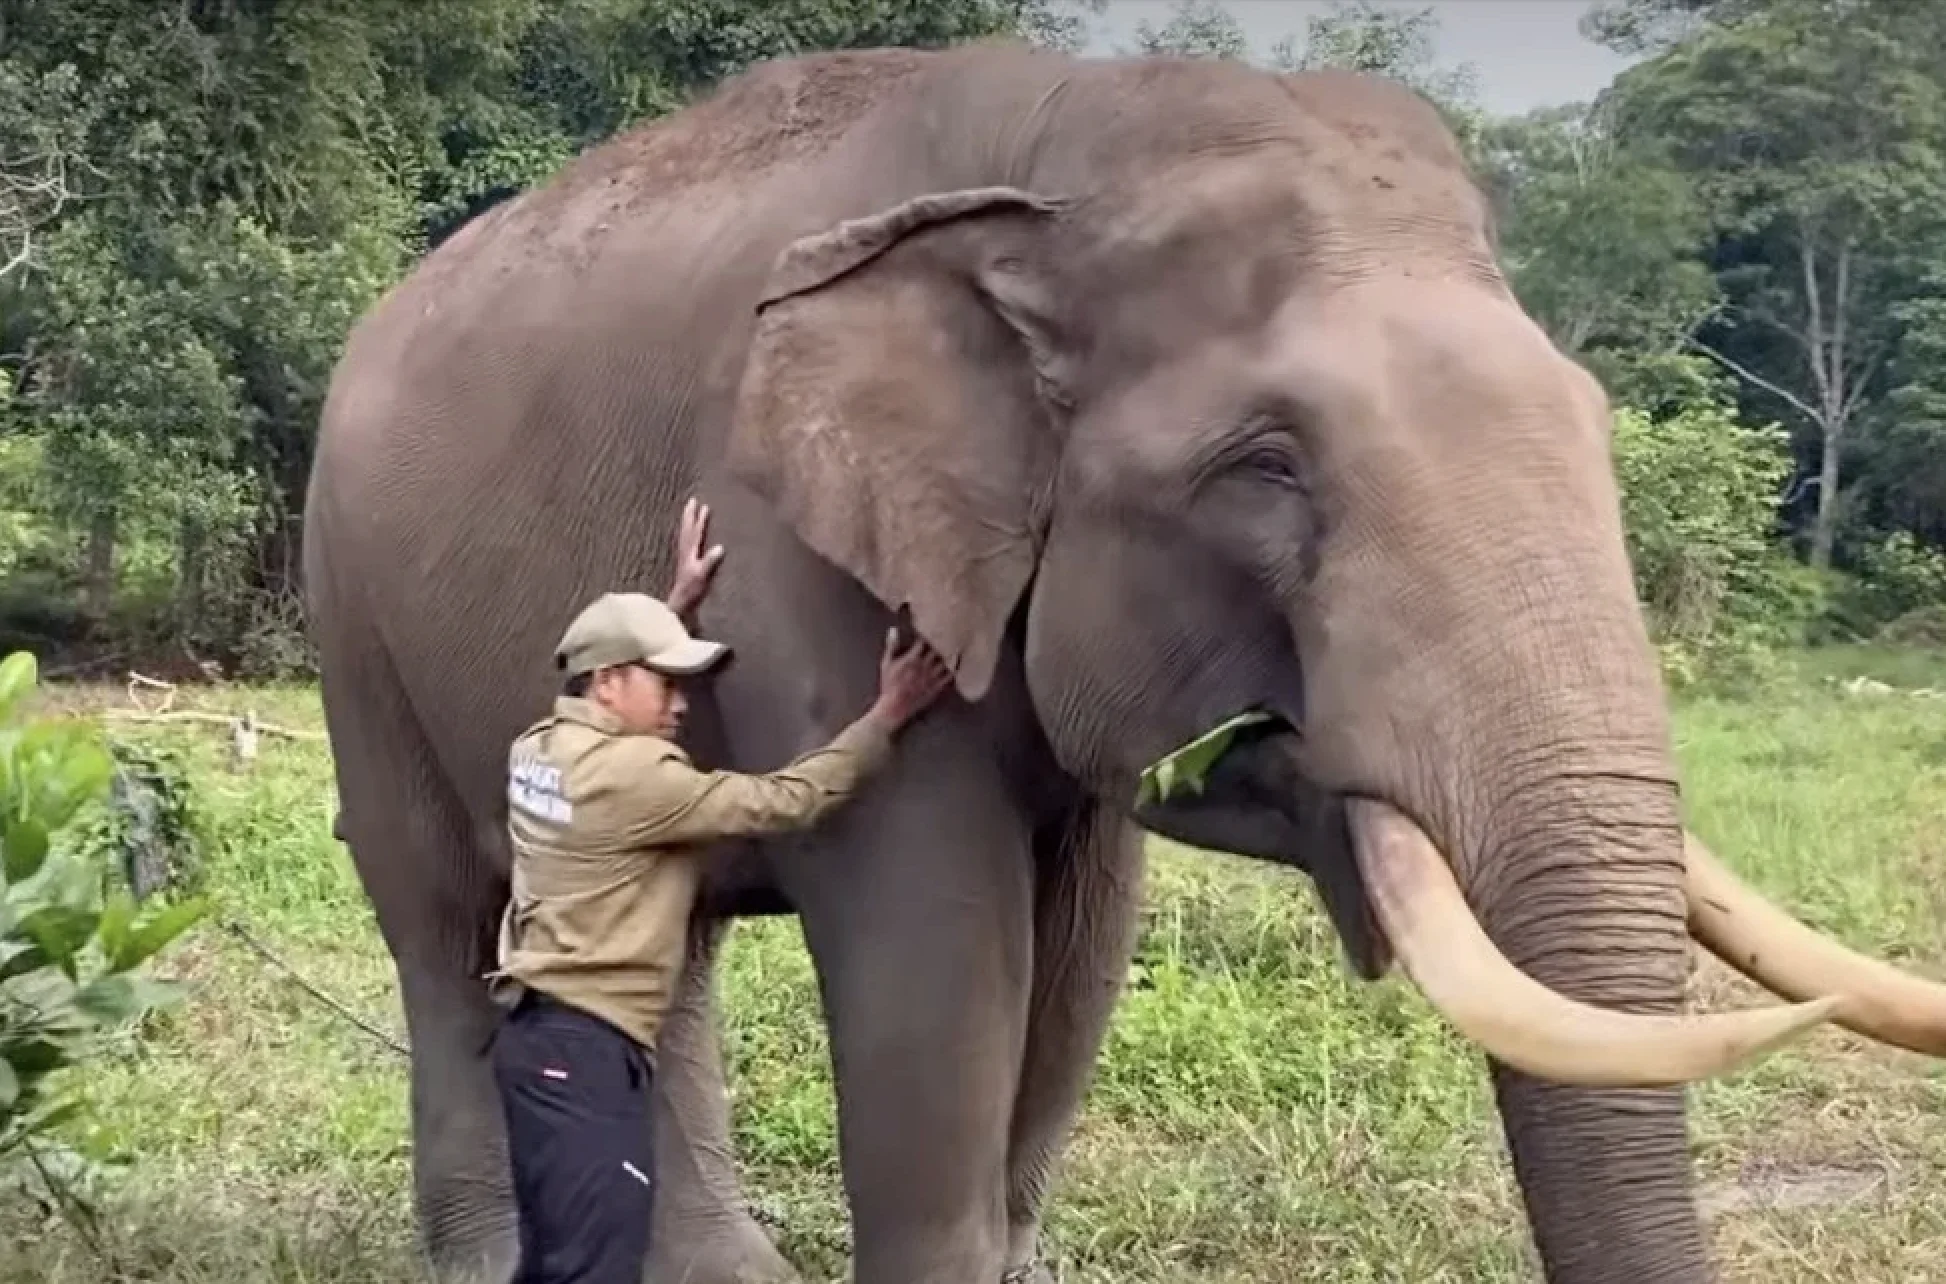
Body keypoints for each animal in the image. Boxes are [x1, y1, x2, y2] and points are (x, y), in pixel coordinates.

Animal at [300, 40, 1946, 1284]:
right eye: (1269, 468)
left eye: (1595, 429)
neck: (1060, 145)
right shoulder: (798, 551)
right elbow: (932, 959)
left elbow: (1080, 956)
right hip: (352, 622)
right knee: (439, 923)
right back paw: (482, 1255)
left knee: (668, 940)